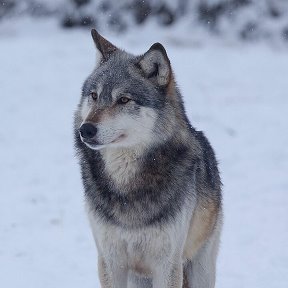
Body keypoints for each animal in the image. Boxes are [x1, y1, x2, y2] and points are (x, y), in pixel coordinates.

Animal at [74, 29, 223, 288]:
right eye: (93, 96)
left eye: (124, 100)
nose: (86, 129)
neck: (126, 184)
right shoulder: (110, 261)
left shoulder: (167, 264)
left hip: (201, 266)